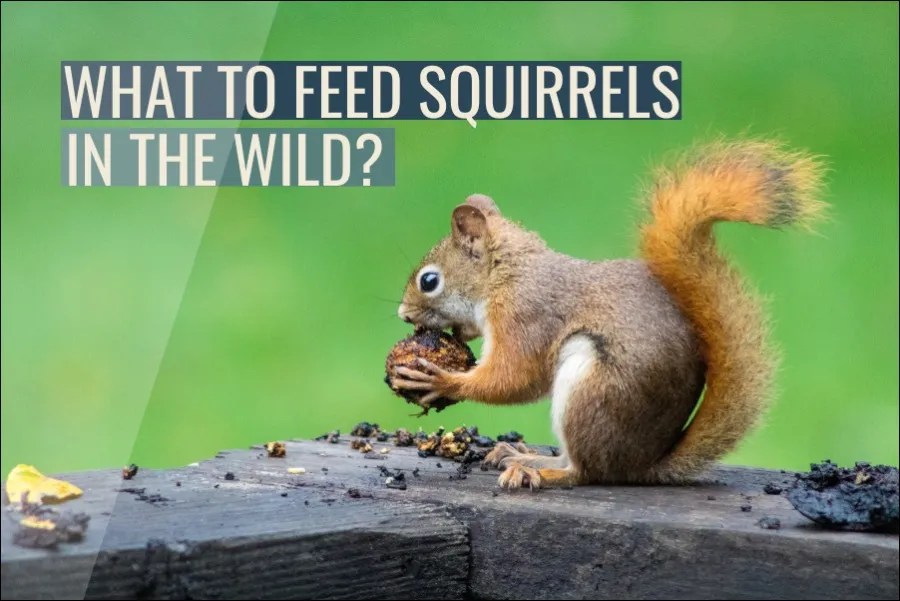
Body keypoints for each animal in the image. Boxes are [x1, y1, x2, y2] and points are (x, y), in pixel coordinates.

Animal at [390, 140, 825, 488]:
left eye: (429, 281)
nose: (403, 314)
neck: (506, 274)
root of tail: (641, 465)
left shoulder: (526, 315)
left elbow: (515, 377)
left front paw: (442, 379)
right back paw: (520, 454)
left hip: (590, 390)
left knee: (584, 472)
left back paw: (539, 470)